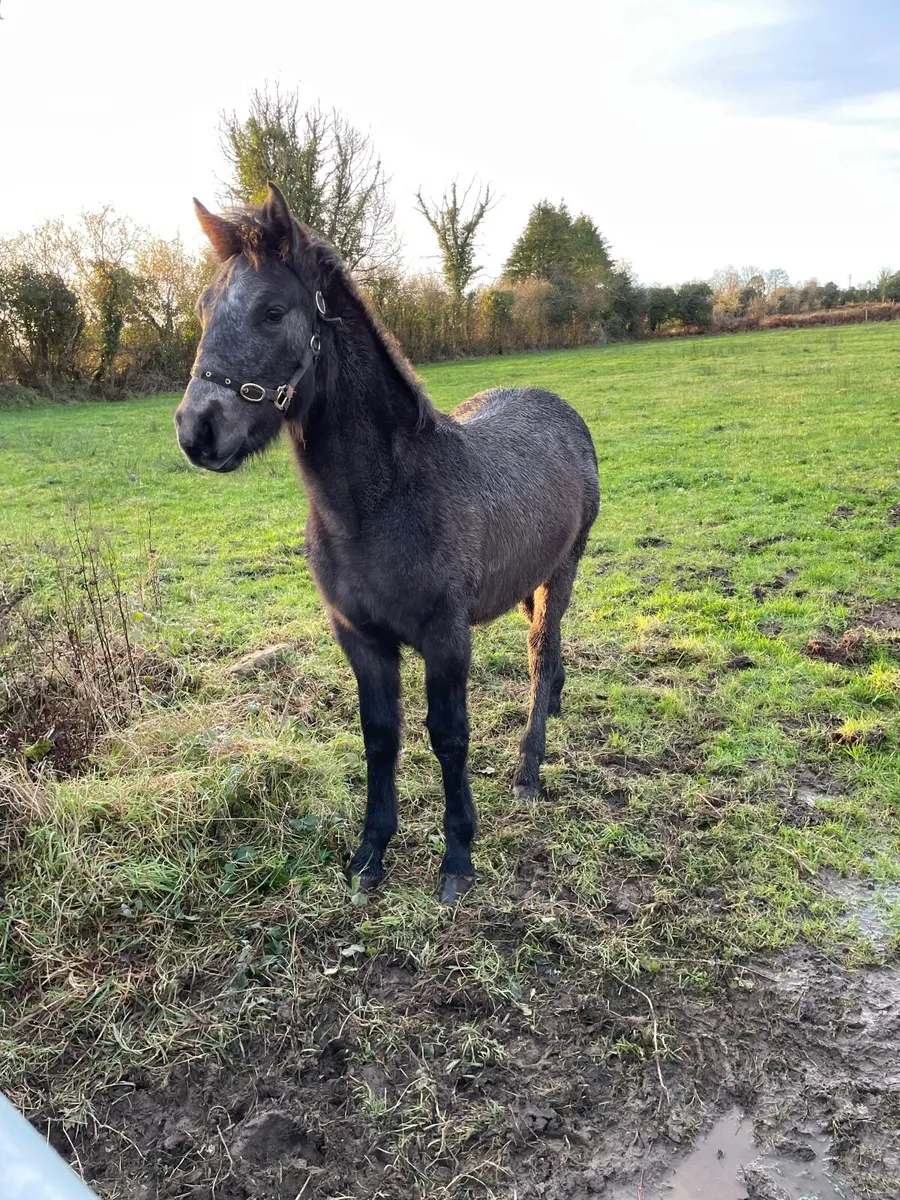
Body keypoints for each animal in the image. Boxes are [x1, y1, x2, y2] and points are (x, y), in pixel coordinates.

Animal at [175, 184, 599, 903]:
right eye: (205, 307)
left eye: (273, 311)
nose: (198, 430)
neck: (379, 502)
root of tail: (560, 407)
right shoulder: (359, 635)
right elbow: (380, 736)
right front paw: (370, 854)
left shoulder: (445, 635)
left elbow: (448, 737)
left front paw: (457, 858)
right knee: (548, 648)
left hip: (562, 570)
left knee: (541, 654)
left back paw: (528, 769)